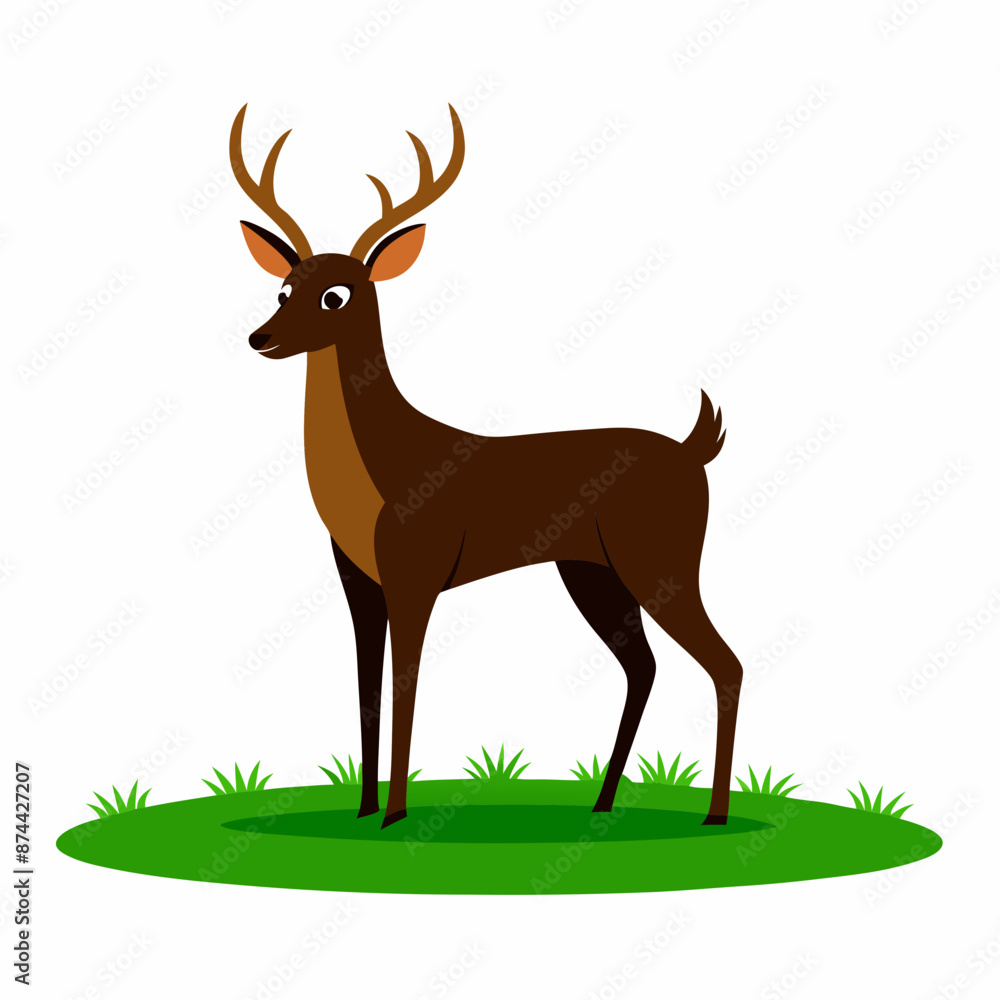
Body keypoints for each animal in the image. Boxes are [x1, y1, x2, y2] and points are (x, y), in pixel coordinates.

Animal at [229, 103, 743, 829]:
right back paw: (602, 803)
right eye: (282, 287)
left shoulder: (415, 574)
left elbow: (407, 686)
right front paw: (362, 812)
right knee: (642, 666)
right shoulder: (357, 580)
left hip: (660, 560)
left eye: (336, 295)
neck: (380, 471)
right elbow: (365, 687)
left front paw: (394, 817)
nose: (260, 338)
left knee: (724, 664)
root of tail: (694, 448)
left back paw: (715, 815)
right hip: (592, 573)